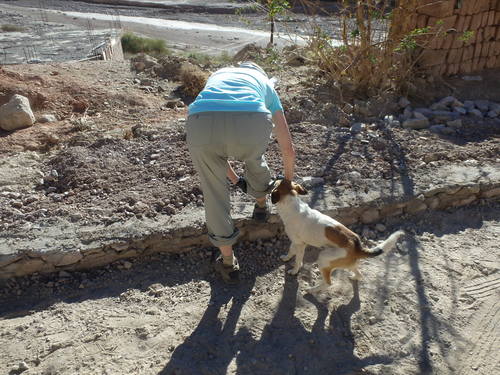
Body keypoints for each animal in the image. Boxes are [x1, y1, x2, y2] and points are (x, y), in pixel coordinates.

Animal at [272, 181, 404, 296]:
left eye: (275, 183)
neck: (292, 203)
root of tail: (356, 245)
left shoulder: (300, 244)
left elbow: (298, 260)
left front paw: (294, 271)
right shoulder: (295, 242)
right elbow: (290, 251)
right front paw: (286, 258)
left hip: (324, 258)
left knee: (328, 283)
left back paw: (312, 290)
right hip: (347, 263)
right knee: (360, 274)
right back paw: (354, 277)